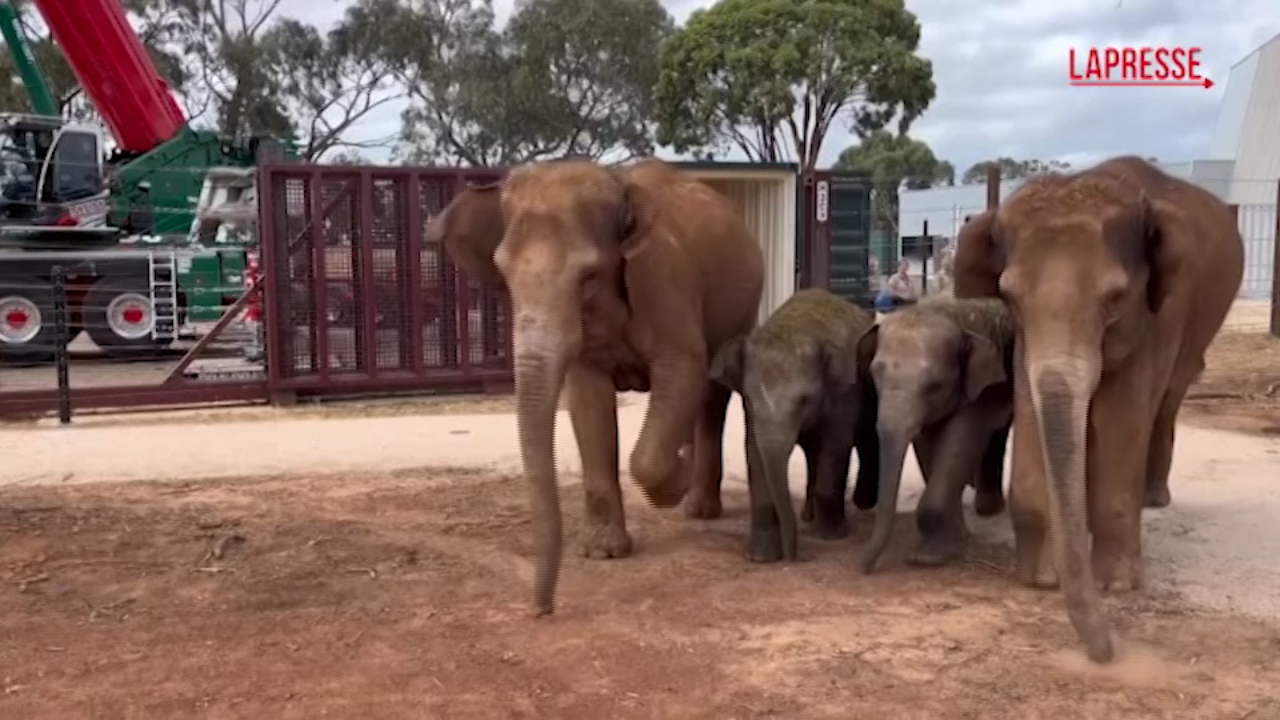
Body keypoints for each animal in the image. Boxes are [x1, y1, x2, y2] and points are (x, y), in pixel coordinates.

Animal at [424, 159, 762, 614]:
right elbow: (588, 403)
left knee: (711, 396)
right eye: (505, 278)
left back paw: (697, 507)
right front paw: (603, 552)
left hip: (740, 309)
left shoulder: (665, 279)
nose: (543, 609)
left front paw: (671, 484)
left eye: (587, 277)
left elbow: (684, 370)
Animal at [711, 285, 880, 561]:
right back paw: (808, 516)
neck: (796, 328)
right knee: (814, 452)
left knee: (866, 440)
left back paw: (861, 505)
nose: (794, 556)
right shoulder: (751, 414)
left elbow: (837, 445)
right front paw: (762, 558)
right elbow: (755, 452)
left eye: (804, 400)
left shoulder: (845, 391)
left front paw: (831, 537)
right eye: (751, 399)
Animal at [855, 293, 1013, 571]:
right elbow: (928, 445)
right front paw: (956, 537)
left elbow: (958, 442)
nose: (863, 568)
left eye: (934, 386)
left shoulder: (979, 387)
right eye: (874, 375)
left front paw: (926, 559)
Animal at [957, 155, 1244, 661]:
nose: (1107, 653)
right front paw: (1038, 579)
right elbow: (1032, 402)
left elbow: (1124, 413)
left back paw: (1154, 498)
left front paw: (1116, 587)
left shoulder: (1159, 315)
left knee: (1168, 399)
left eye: (1115, 298)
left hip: (1199, 328)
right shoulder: (1025, 339)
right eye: (1009, 297)